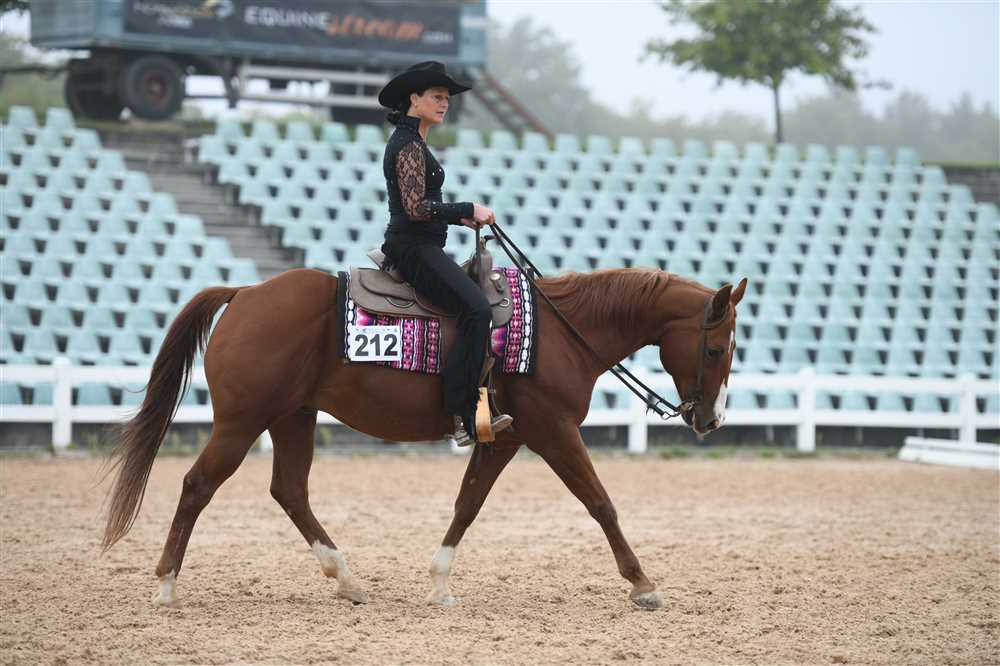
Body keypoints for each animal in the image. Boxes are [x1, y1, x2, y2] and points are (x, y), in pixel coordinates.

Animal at [100, 265, 747, 610]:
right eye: (717, 348)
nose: (712, 420)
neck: (562, 333)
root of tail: (245, 294)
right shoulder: (553, 430)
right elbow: (600, 502)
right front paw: (643, 584)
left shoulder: (505, 437)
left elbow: (468, 503)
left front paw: (439, 584)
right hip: (242, 422)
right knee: (197, 486)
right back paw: (166, 586)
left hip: (293, 417)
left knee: (289, 491)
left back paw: (348, 580)